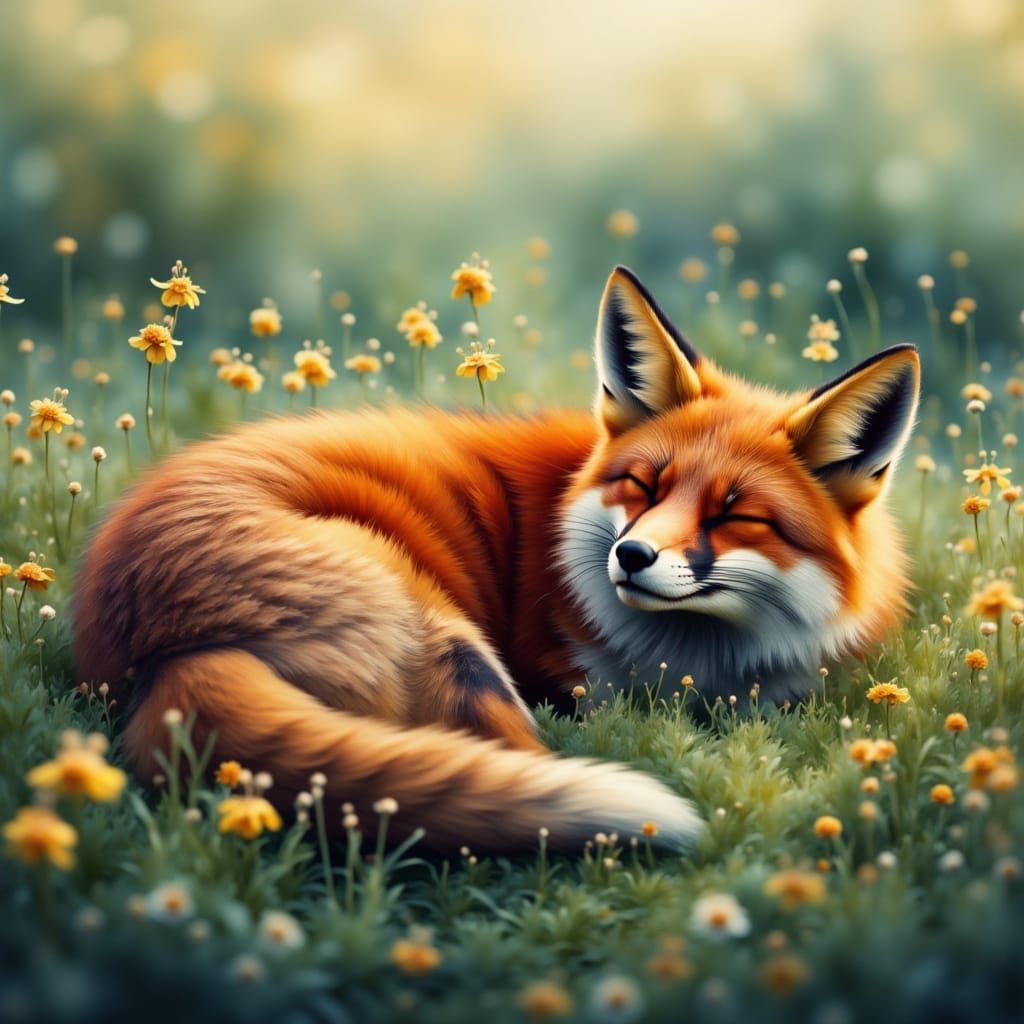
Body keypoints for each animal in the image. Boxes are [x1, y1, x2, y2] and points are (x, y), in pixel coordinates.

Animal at [73, 266, 920, 854]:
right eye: (643, 485)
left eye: (734, 514)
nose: (631, 554)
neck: (697, 663)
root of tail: (155, 653)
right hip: (447, 636)